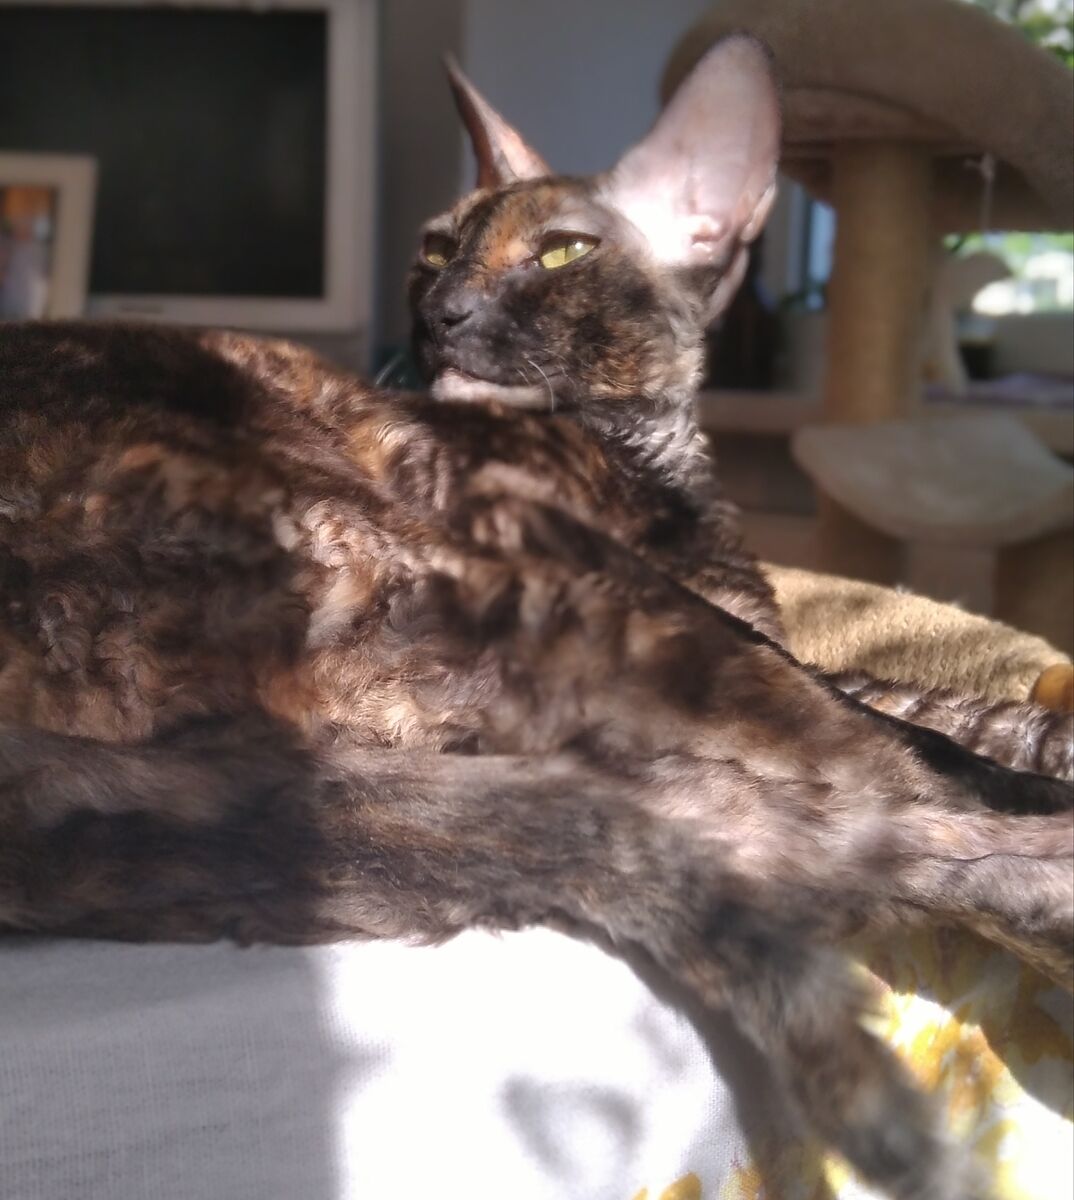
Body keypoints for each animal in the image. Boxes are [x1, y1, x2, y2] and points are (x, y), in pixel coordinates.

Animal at [0, 35, 1071, 1200]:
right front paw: (1024, 767)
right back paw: (1052, 878)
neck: (651, 460)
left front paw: (1038, 734)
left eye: (561, 254)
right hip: (524, 611)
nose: (441, 314)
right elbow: (910, 727)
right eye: (433, 252)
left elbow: (937, 700)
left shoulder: (744, 625)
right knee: (854, 789)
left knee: (765, 822)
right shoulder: (682, 609)